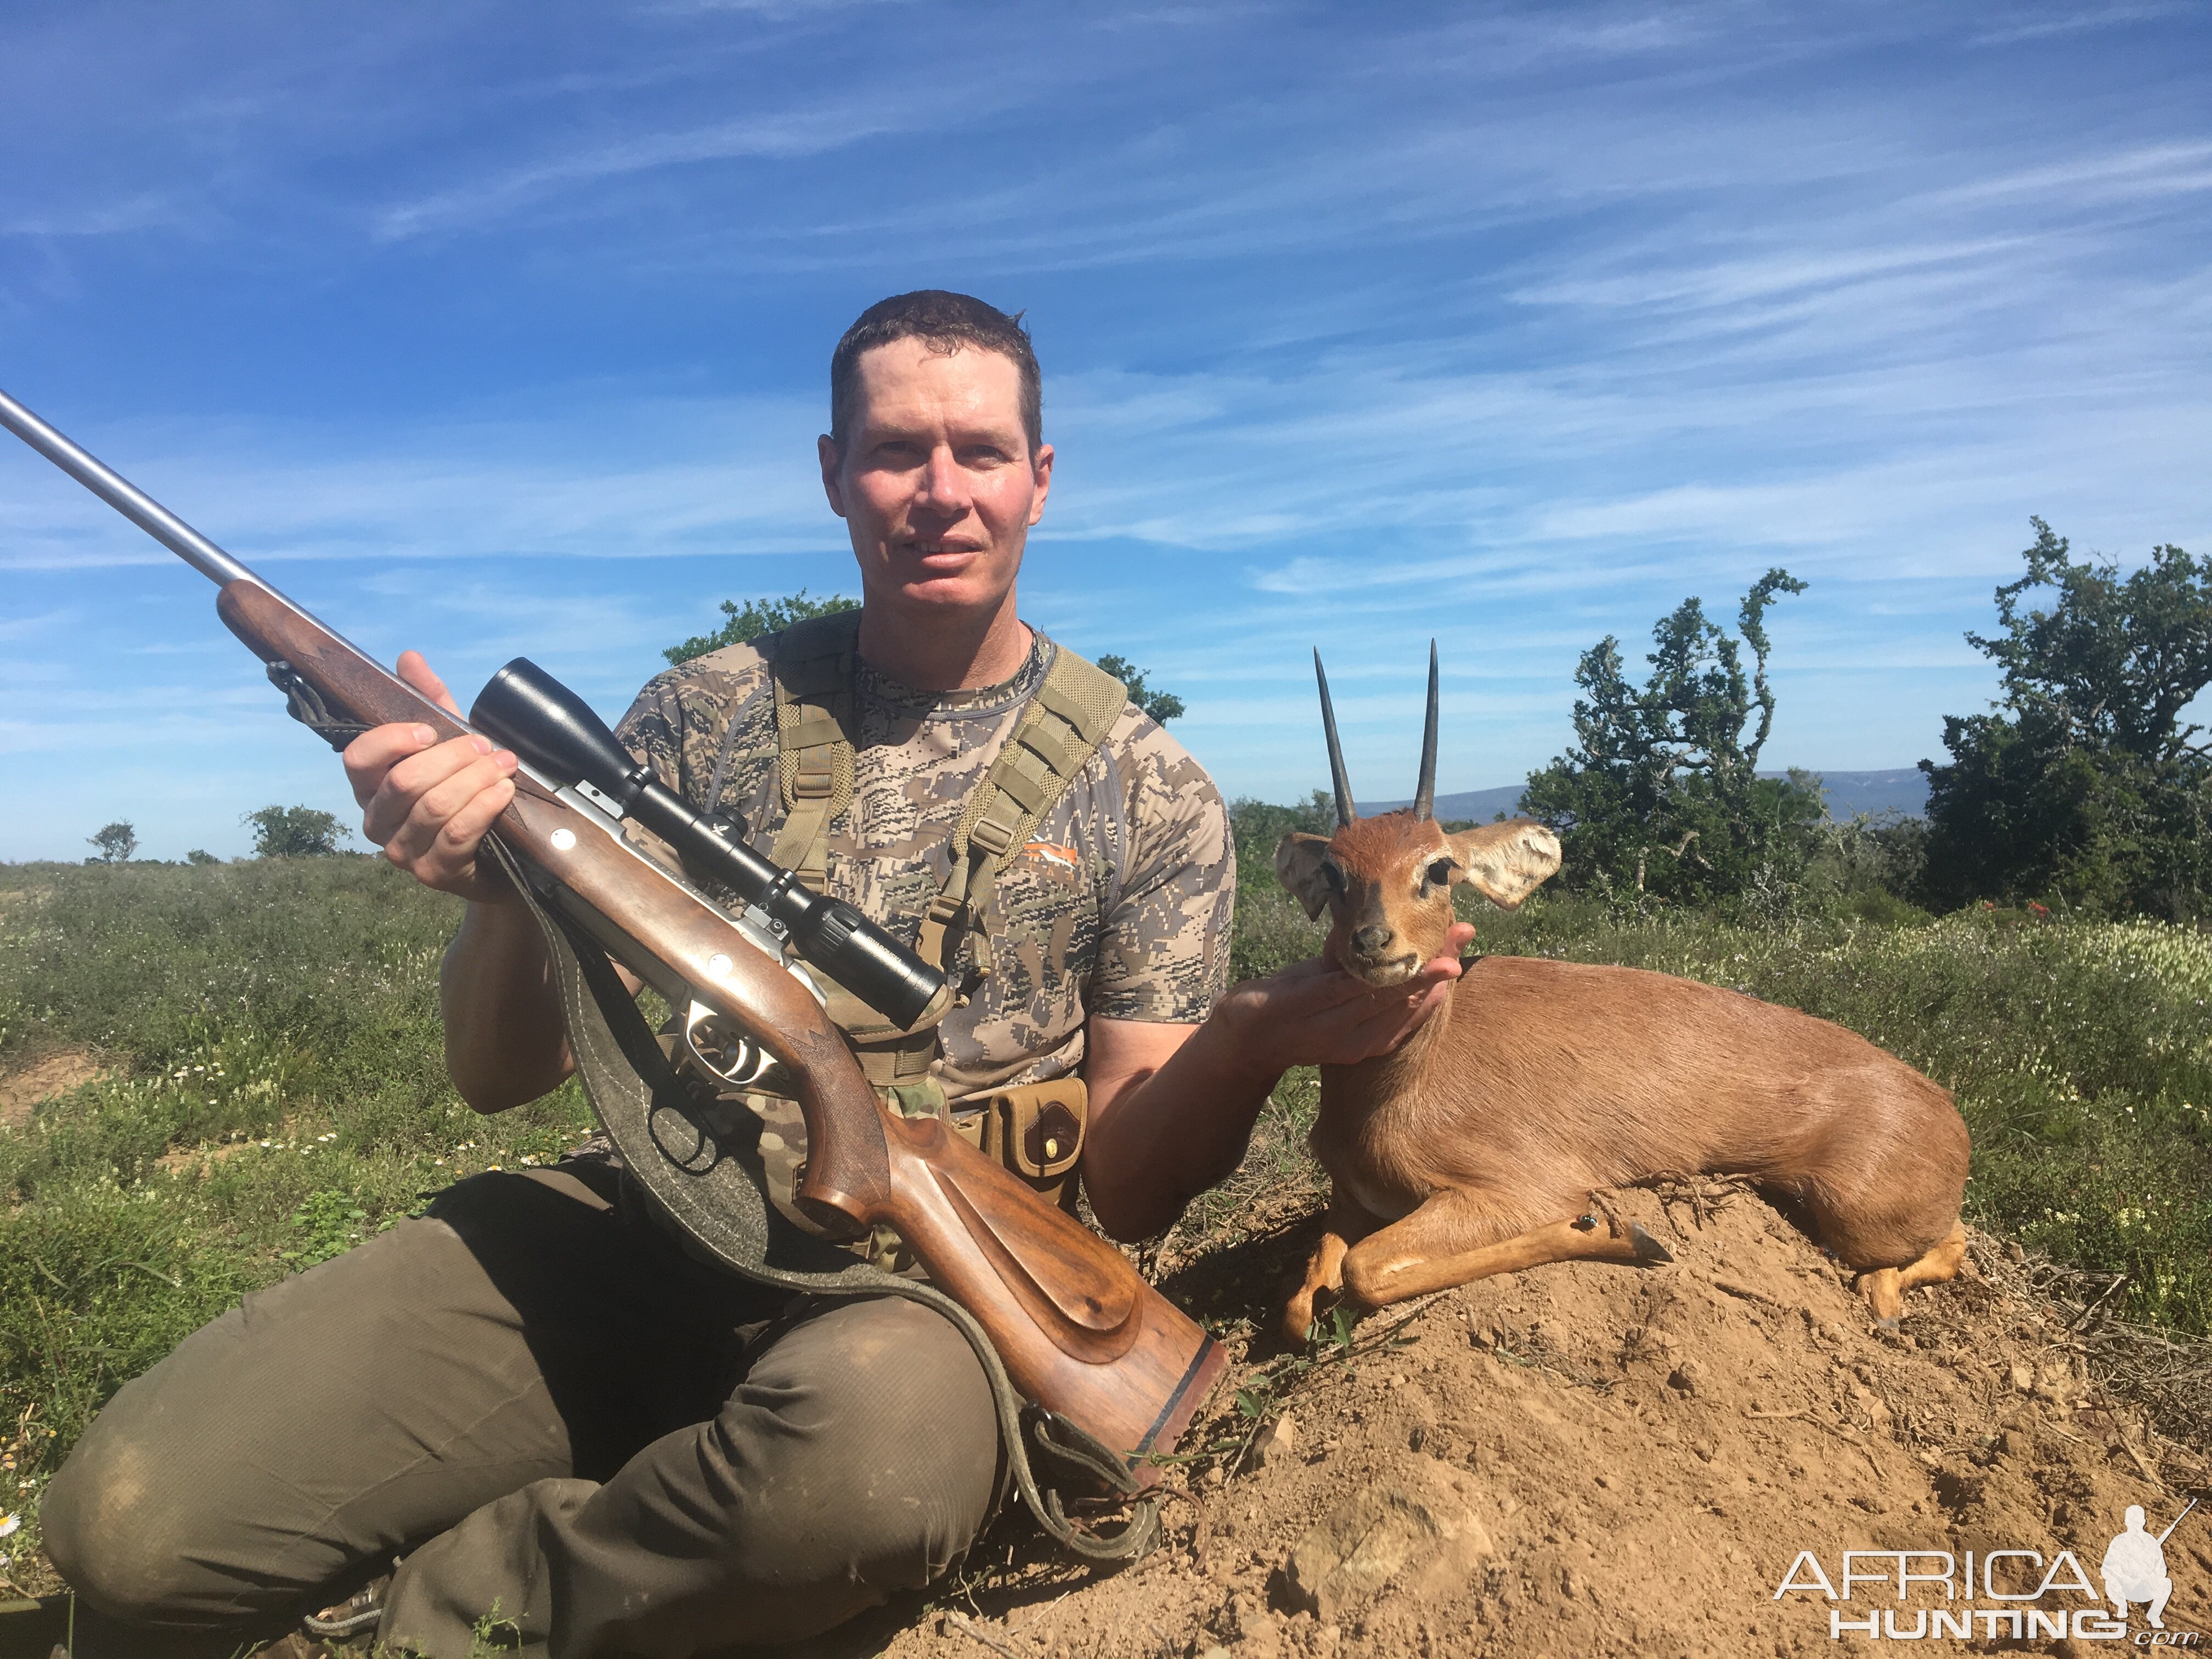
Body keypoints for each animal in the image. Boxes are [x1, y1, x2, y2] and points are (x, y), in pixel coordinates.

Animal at [1283, 641, 1973, 1345]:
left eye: (1440, 866)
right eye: (1335, 870)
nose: (1374, 942)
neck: (1392, 1087)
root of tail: (1945, 1107)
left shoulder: (1517, 1189)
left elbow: (1365, 1271)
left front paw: (1624, 1235)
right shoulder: (1349, 1199)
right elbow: (1304, 1300)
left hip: (1853, 1212)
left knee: (1949, 1243)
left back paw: (1880, 1303)